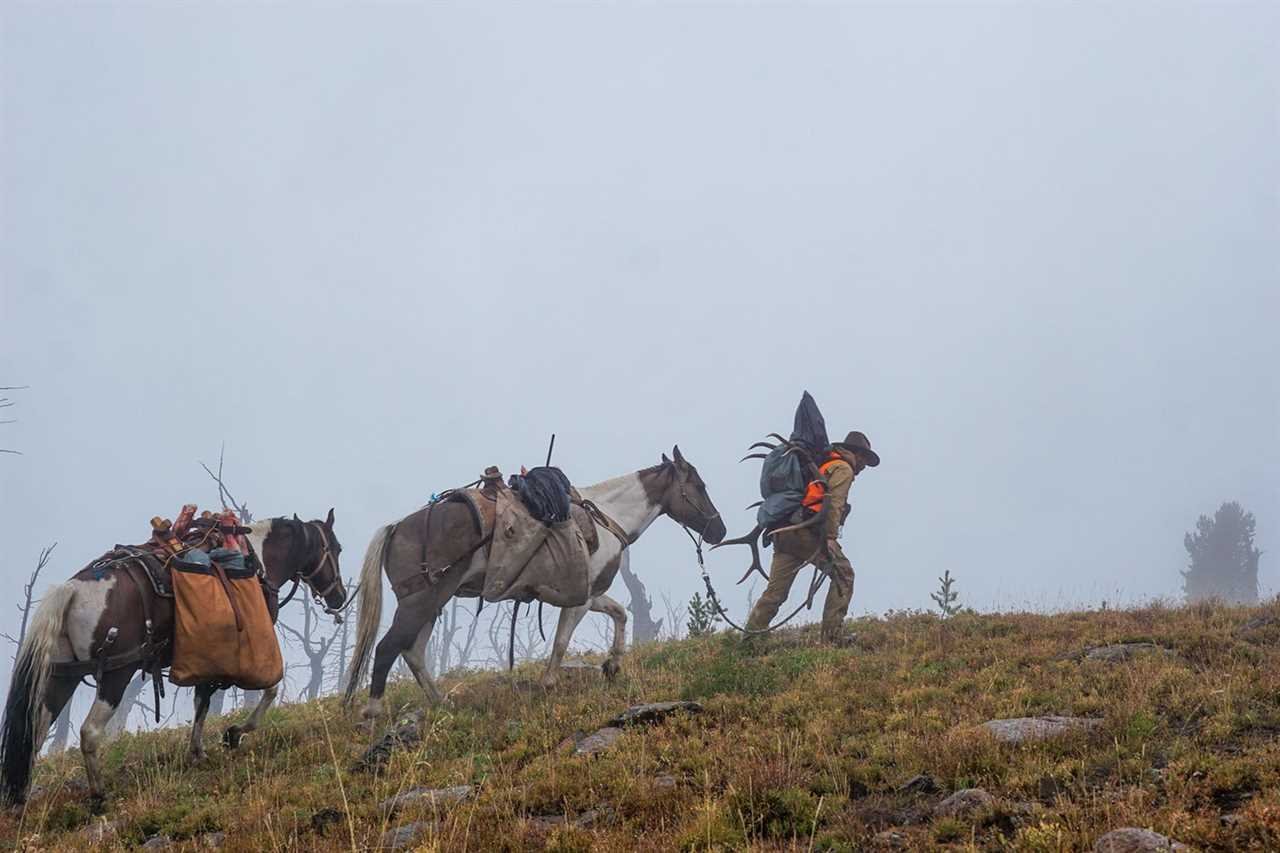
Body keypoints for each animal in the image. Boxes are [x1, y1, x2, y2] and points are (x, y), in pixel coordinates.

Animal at [0, 512, 348, 804]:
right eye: (337, 548)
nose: (340, 597)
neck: (257, 560)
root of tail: (71, 589)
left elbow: (202, 703)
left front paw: (198, 752)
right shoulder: (250, 648)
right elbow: (269, 690)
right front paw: (234, 733)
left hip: (64, 676)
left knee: (36, 730)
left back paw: (22, 796)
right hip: (115, 674)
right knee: (89, 732)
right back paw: (99, 795)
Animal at [345, 448, 727, 722]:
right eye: (700, 486)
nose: (719, 530)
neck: (606, 517)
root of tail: (397, 526)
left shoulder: (591, 594)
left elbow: (620, 614)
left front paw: (613, 664)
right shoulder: (579, 600)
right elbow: (561, 642)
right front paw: (549, 684)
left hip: (433, 601)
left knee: (413, 651)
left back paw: (441, 703)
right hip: (421, 600)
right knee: (389, 648)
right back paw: (373, 712)